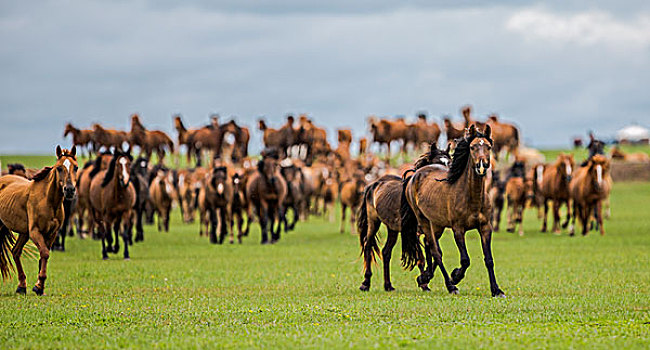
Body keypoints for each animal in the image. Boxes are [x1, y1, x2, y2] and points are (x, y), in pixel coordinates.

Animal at [0, 145, 77, 296]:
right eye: (59, 168)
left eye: (76, 167)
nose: (70, 190)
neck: (47, 200)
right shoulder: (35, 232)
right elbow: (45, 253)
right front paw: (38, 286)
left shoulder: (52, 233)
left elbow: (43, 257)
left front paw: (40, 287)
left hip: (24, 233)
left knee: (15, 252)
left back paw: (21, 287)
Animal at [398, 124, 504, 296]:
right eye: (473, 147)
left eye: (488, 147)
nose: (482, 166)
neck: (472, 198)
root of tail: (416, 175)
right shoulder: (458, 229)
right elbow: (465, 260)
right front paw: (455, 276)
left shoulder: (485, 227)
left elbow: (489, 260)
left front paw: (496, 290)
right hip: (424, 220)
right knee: (436, 251)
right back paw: (449, 285)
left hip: (437, 225)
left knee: (430, 246)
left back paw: (425, 278)